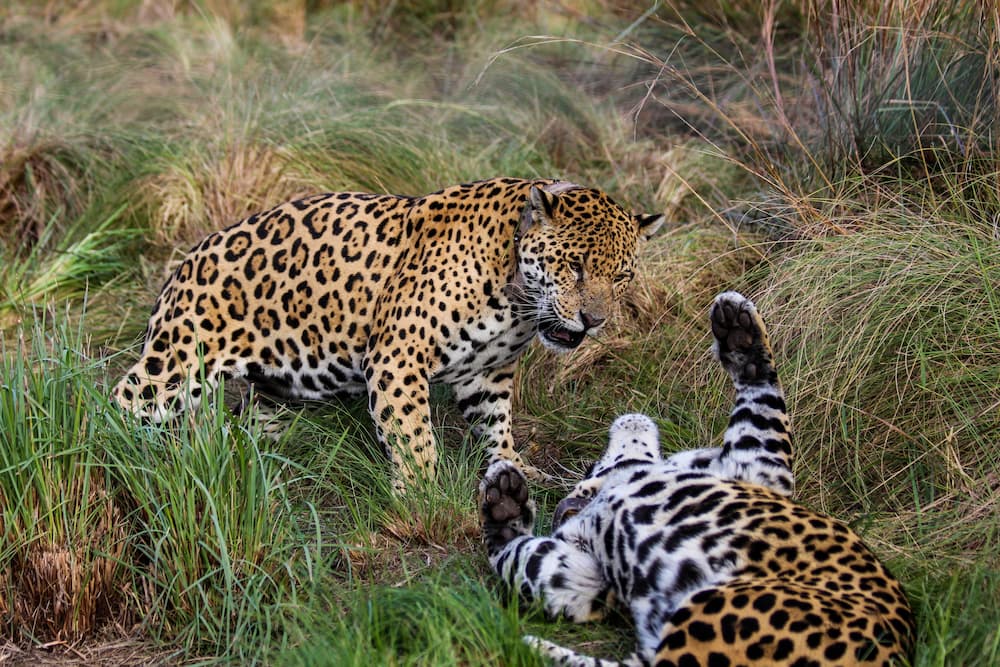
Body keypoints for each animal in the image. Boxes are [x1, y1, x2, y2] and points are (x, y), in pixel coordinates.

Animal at [113, 177, 664, 490]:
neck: (518, 299)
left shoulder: (486, 374)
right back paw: (116, 456)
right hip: (175, 364)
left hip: (277, 380)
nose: (594, 320)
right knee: (123, 401)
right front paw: (422, 496)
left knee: (252, 415)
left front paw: (514, 468)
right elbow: (415, 439)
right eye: (574, 266)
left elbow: (496, 425)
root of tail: (187, 261)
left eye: (622, 276)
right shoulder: (398, 356)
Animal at [478, 292, 916, 667]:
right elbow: (525, 557)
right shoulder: (588, 577)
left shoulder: (760, 465)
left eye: (590, 468)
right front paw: (504, 500)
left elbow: (766, 402)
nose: (632, 414)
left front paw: (739, 328)